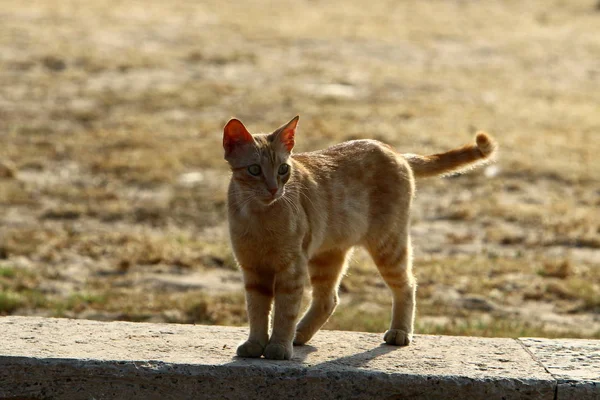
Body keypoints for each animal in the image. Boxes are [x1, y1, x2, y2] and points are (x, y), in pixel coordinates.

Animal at [223, 115, 494, 360]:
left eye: (283, 169)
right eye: (254, 170)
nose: (273, 189)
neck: (259, 216)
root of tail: (394, 151)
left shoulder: (291, 269)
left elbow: (283, 312)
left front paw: (278, 346)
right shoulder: (252, 270)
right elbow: (257, 311)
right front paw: (255, 345)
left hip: (388, 245)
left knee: (407, 285)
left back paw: (399, 332)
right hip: (327, 256)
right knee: (328, 299)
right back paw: (299, 334)